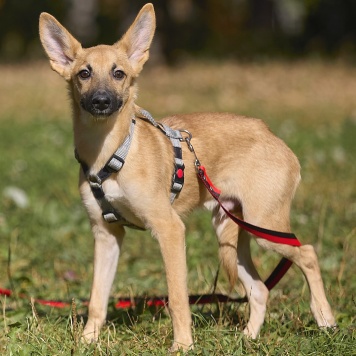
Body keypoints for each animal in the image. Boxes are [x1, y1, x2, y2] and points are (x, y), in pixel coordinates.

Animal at [39, 4, 336, 352]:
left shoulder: (169, 230)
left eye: (118, 74)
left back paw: (325, 319)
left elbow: (178, 298)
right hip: (230, 231)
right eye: (84, 74)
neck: (111, 153)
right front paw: (88, 341)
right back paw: (248, 338)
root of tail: (270, 134)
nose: (101, 101)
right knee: (261, 289)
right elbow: (97, 299)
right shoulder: (106, 235)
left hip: (265, 226)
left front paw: (182, 345)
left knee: (308, 253)